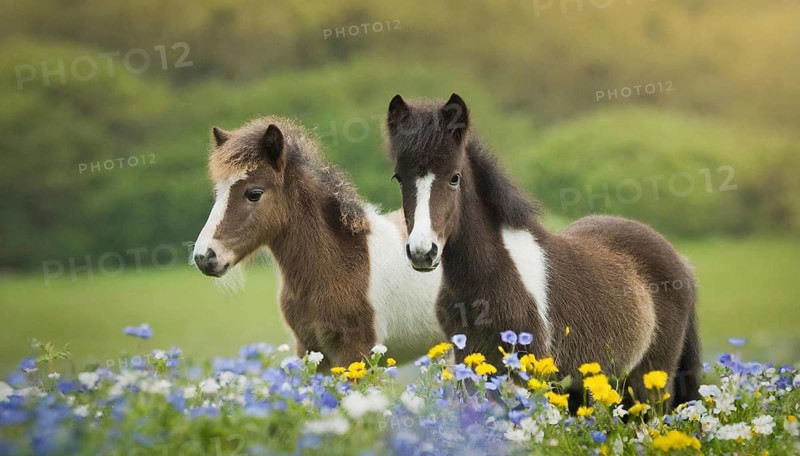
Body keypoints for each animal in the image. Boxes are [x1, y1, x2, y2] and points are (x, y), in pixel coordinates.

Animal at [191, 117, 444, 370]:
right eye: (218, 193)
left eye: (254, 193)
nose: (205, 256)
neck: (340, 262)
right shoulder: (311, 349)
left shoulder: (356, 350)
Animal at [384, 94, 701, 408]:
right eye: (399, 177)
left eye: (454, 177)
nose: (422, 252)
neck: (488, 276)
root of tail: (682, 262)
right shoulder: (468, 361)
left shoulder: (530, 366)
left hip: (648, 383)